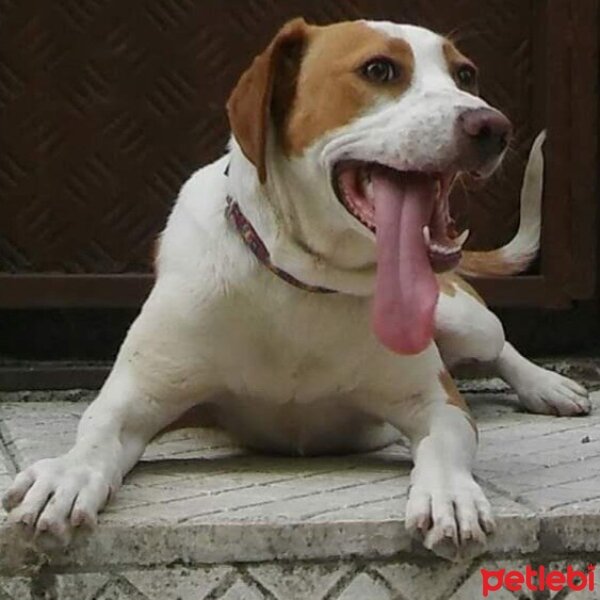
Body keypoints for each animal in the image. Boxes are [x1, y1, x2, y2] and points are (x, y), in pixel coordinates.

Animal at [1, 18, 592, 564]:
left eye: (465, 75)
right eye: (379, 70)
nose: (492, 125)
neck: (304, 283)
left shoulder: (436, 402)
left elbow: (447, 441)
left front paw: (450, 493)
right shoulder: (139, 394)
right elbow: (98, 428)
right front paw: (67, 474)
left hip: (462, 320)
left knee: (500, 344)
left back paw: (547, 385)